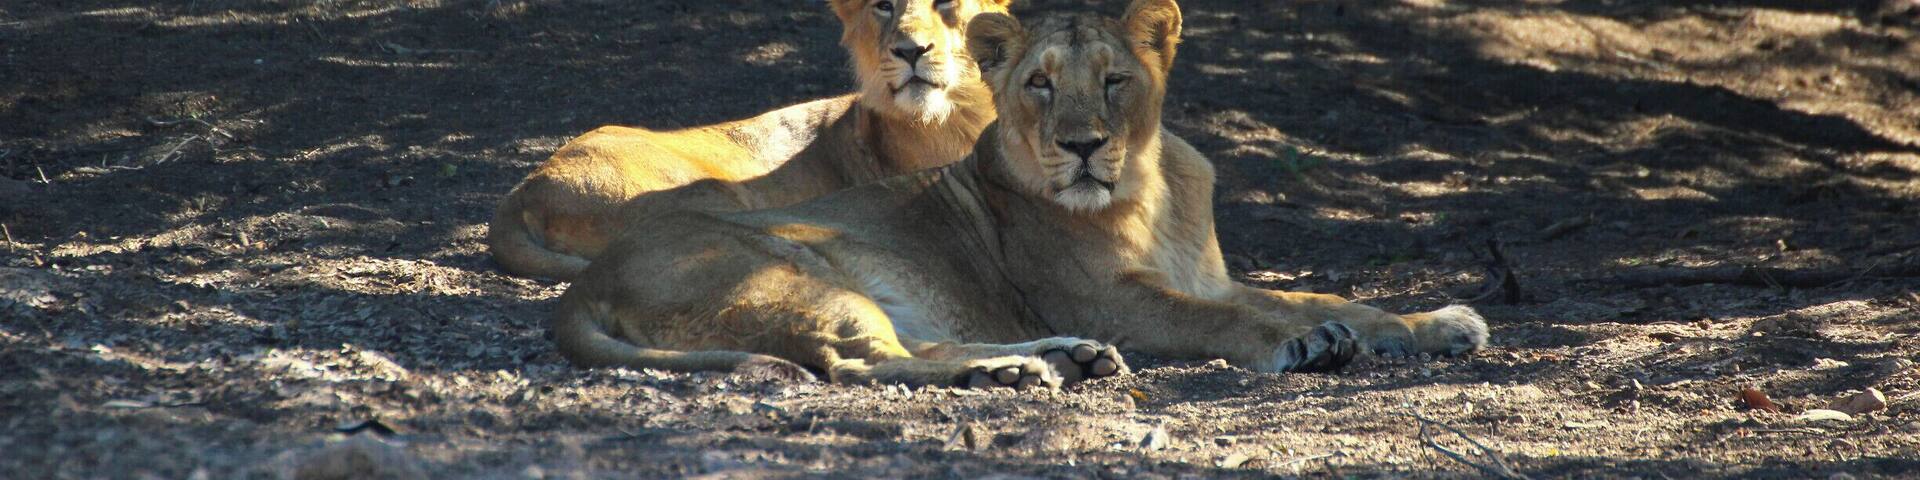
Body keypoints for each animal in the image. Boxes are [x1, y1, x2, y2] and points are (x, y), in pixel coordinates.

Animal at [549, 0, 1490, 388]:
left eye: (1113, 80)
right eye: (1038, 84)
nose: (1082, 145)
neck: (1151, 193)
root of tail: (580, 287)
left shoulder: (1207, 275)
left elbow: (1335, 298)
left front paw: (1440, 323)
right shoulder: (1114, 298)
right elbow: (1230, 321)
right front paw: (1300, 344)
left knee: (912, 347)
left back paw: (1060, 361)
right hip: (791, 272)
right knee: (859, 362)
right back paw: (1013, 372)